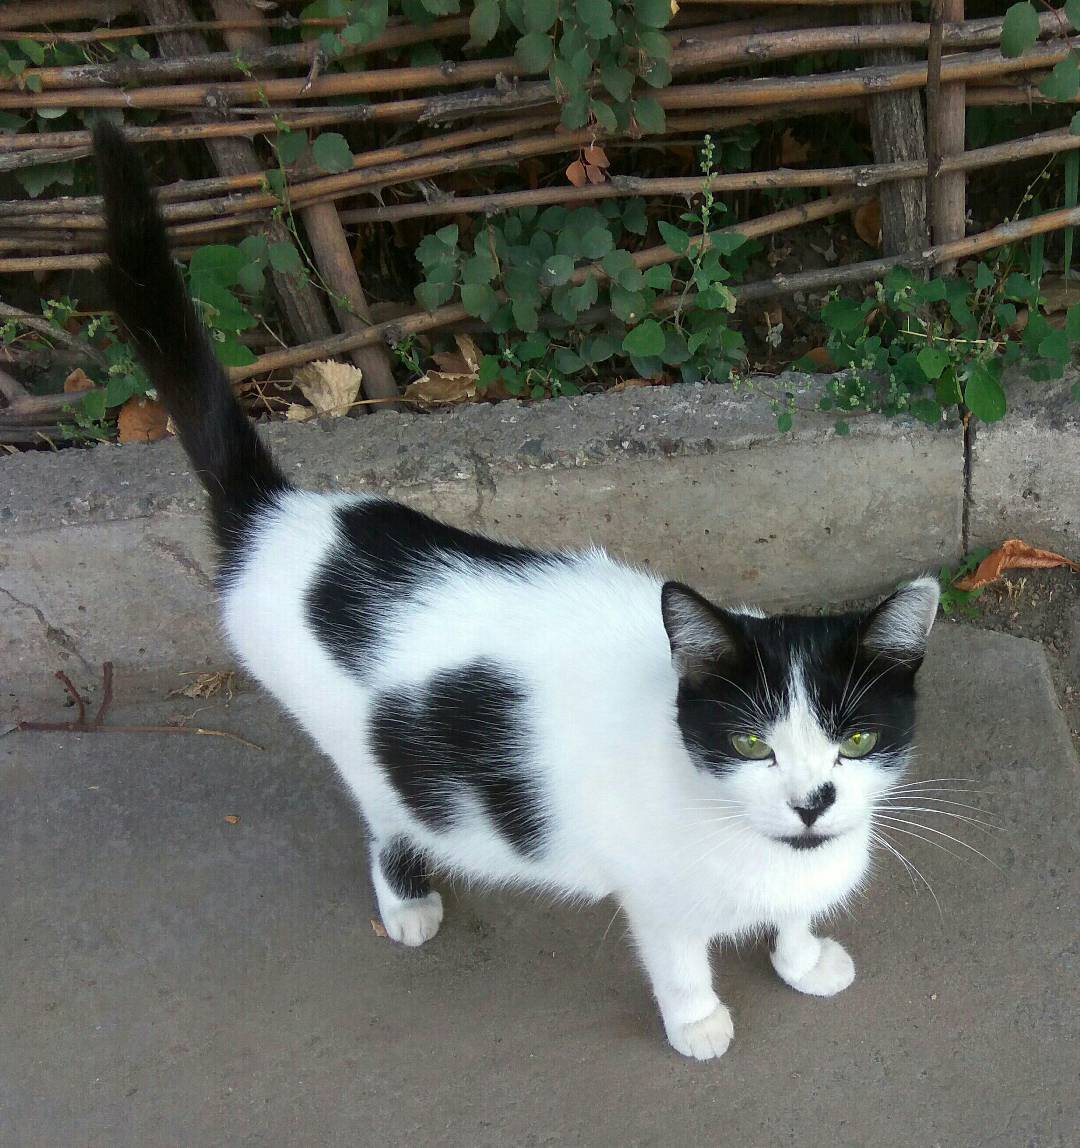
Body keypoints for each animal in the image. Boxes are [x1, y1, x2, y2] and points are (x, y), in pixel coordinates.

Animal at [92, 123, 936, 1056]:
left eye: (857, 739)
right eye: (753, 744)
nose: (812, 801)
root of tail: (281, 517)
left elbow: (789, 916)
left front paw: (803, 958)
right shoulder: (658, 896)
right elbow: (679, 958)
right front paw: (698, 1023)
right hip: (361, 746)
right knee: (387, 812)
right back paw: (406, 900)